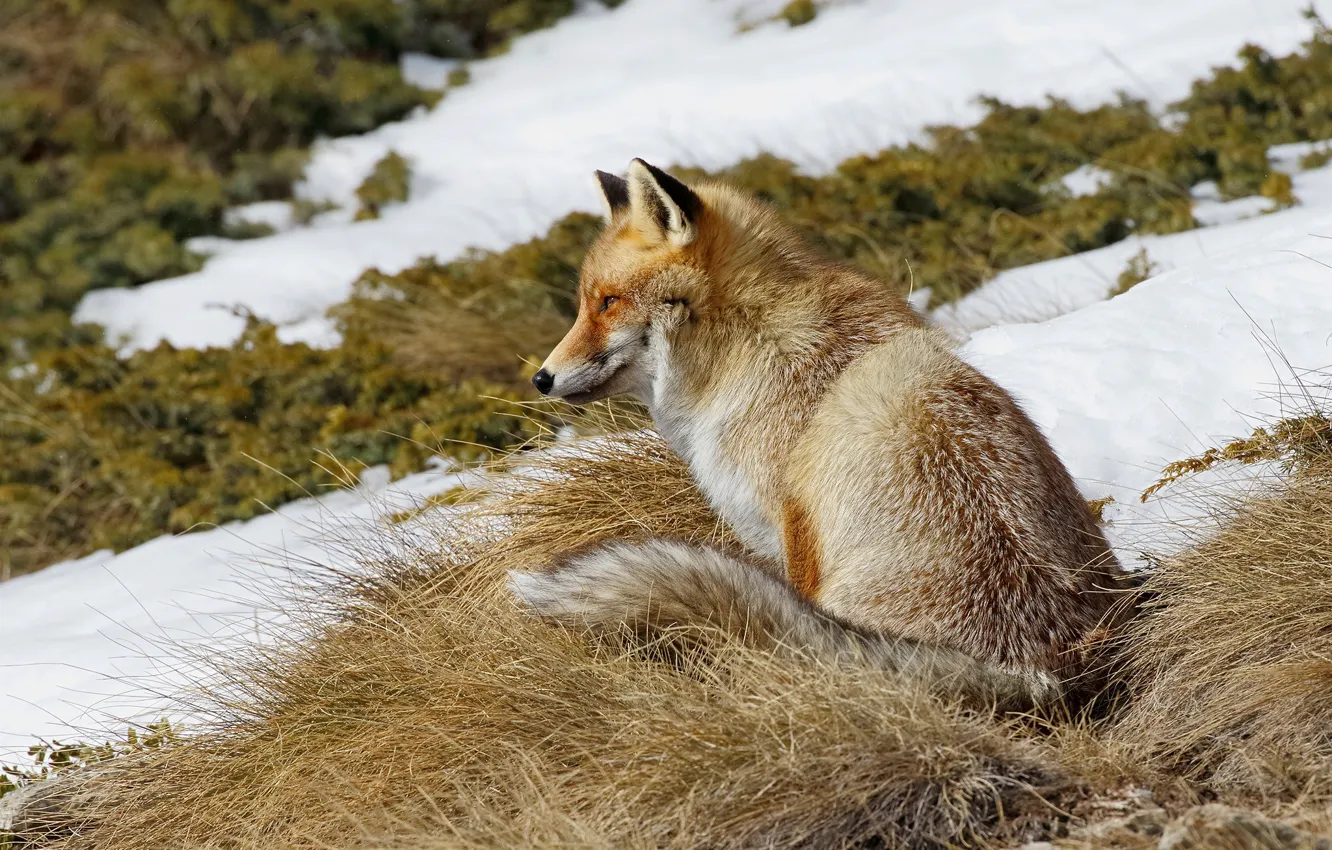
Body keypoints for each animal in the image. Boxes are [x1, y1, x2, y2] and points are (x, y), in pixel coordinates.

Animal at [506, 159, 1124, 714]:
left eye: (608, 302)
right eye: (587, 302)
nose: (541, 378)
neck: (747, 342)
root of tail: (1046, 673)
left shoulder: (791, 525)